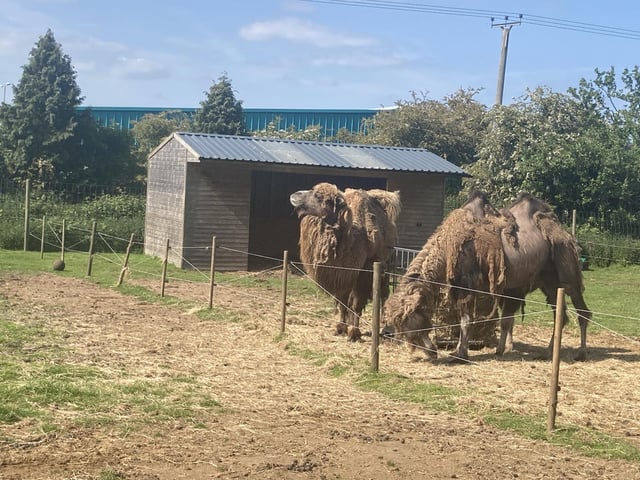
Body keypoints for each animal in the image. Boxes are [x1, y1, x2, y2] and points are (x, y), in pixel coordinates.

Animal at [290, 182, 401, 341]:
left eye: (318, 195)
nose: (294, 195)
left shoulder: (362, 273)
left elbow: (356, 305)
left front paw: (354, 333)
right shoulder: (341, 275)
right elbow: (343, 303)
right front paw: (340, 328)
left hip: (385, 265)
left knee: (383, 293)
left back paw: (386, 329)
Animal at [383, 191, 591, 363]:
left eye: (409, 320)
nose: (430, 353)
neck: (448, 247)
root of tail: (566, 233)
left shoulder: (467, 283)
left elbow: (467, 320)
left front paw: (460, 354)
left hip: (566, 270)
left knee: (582, 310)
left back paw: (580, 353)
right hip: (548, 281)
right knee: (561, 315)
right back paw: (547, 352)